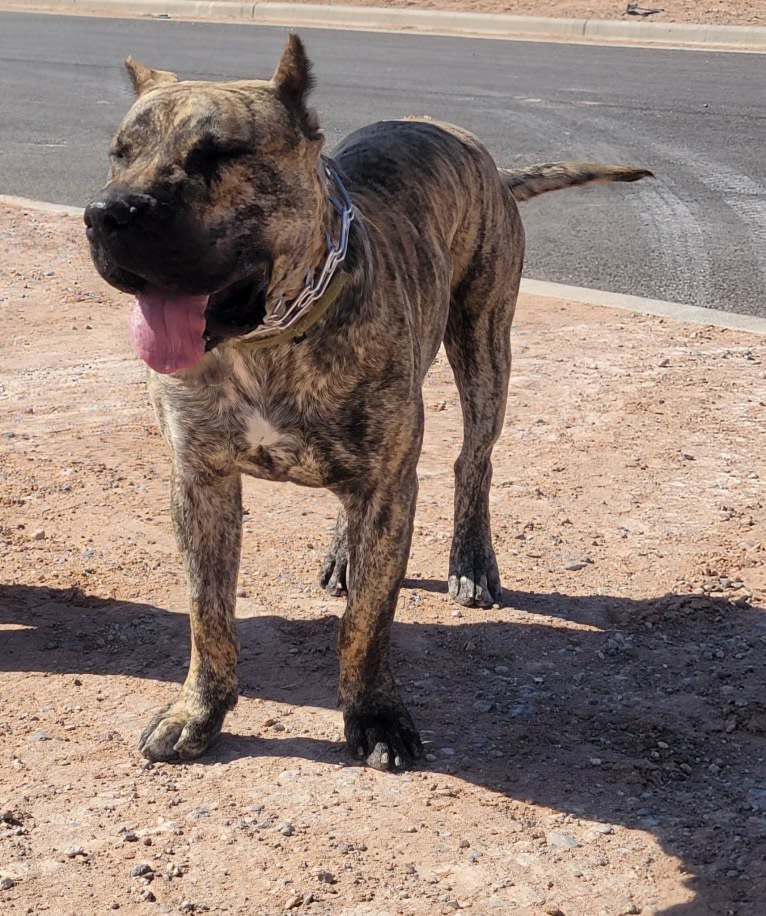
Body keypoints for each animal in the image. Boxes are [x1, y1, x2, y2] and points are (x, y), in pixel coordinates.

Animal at [85, 34, 656, 764]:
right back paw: (343, 554)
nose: (107, 213)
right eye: (120, 152)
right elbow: (207, 614)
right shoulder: (200, 482)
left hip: (484, 347)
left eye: (217, 155)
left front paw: (374, 715)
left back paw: (470, 562)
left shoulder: (389, 490)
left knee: (473, 462)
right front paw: (199, 711)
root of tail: (481, 154)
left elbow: (365, 623)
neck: (267, 340)